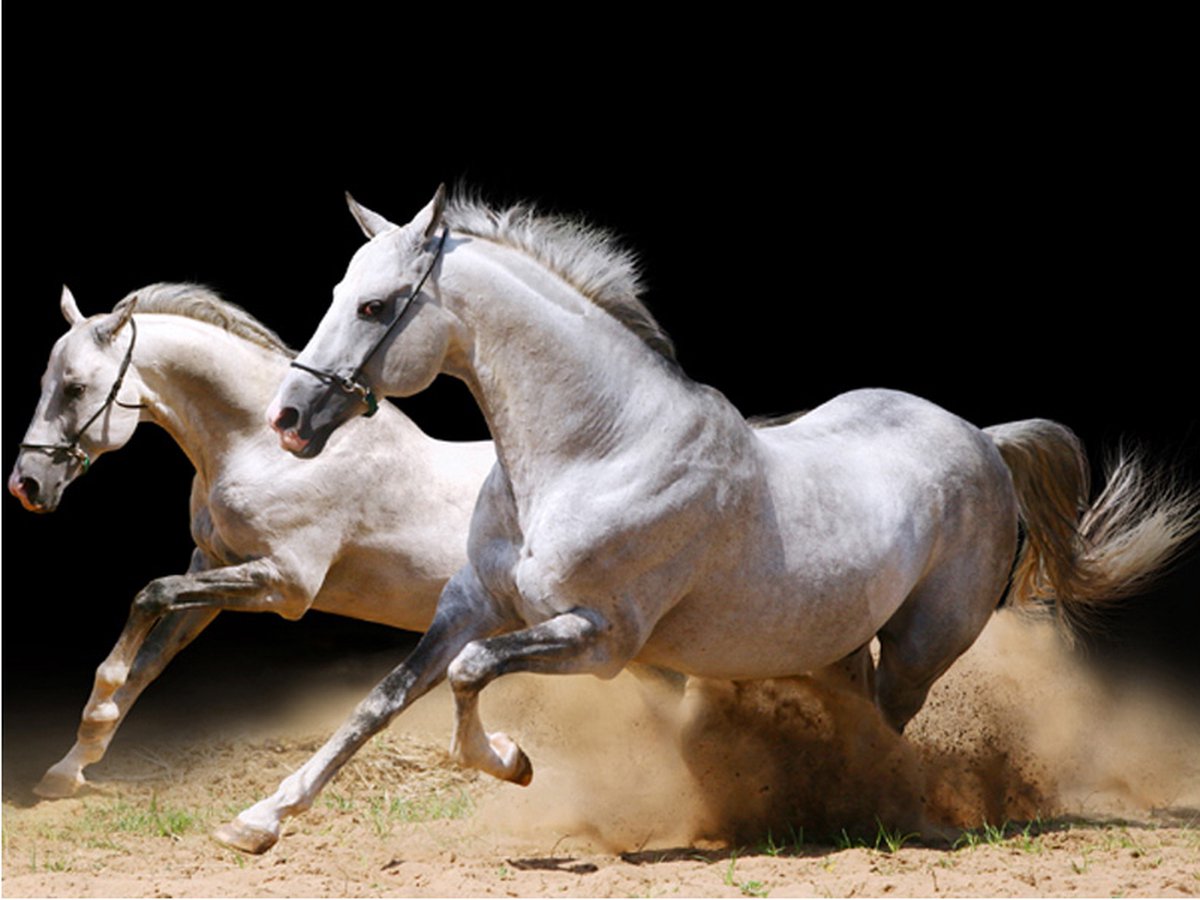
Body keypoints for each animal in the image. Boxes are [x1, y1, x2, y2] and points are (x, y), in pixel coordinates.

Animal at [8, 282, 496, 800]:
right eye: (45, 382)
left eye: (76, 388)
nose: (26, 485)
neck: (266, 451)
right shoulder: (210, 566)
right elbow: (149, 660)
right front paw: (70, 767)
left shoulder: (285, 586)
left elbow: (150, 596)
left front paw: (96, 714)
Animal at [215, 187, 1198, 854]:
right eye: (339, 290)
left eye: (376, 306)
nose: (289, 420)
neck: (595, 448)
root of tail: (984, 440)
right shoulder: (470, 605)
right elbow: (382, 701)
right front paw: (257, 821)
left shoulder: (600, 638)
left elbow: (468, 675)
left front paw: (513, 761)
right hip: (837, 641)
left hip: (924, 644)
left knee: (889, 727)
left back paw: (879, 812)